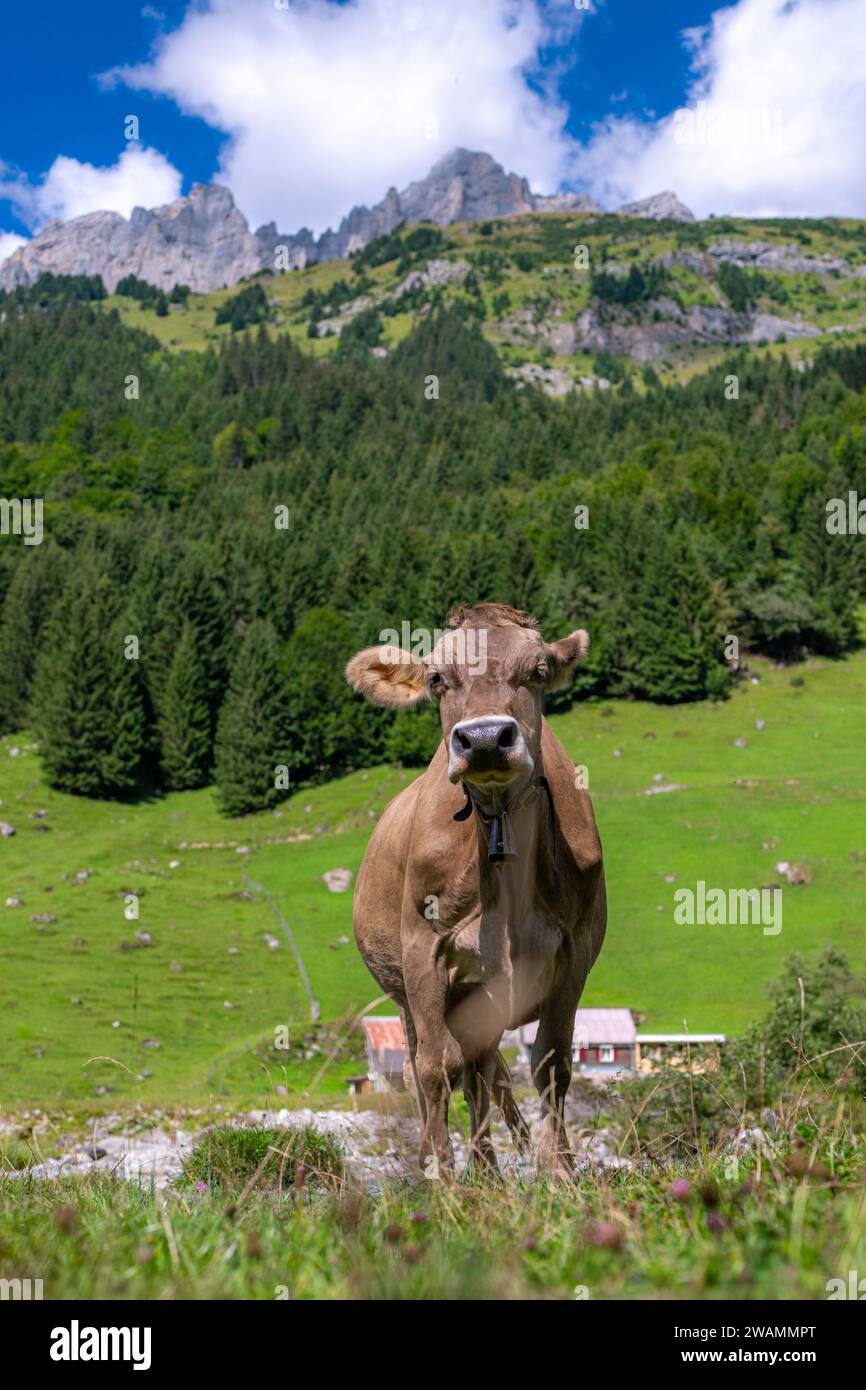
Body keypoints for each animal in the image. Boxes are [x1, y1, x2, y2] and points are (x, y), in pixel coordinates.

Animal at [345, 603, 606, 1178]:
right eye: (437, 679)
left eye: (538, 670)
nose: (485, 738)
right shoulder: (423, 952)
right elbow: (434, 1068)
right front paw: (445, 1180)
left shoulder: (574, 953)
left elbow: (553, 1062)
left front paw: (559, 1172)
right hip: (408, 995)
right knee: (424, 1070)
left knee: (482, 1072)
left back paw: (488, 1167)